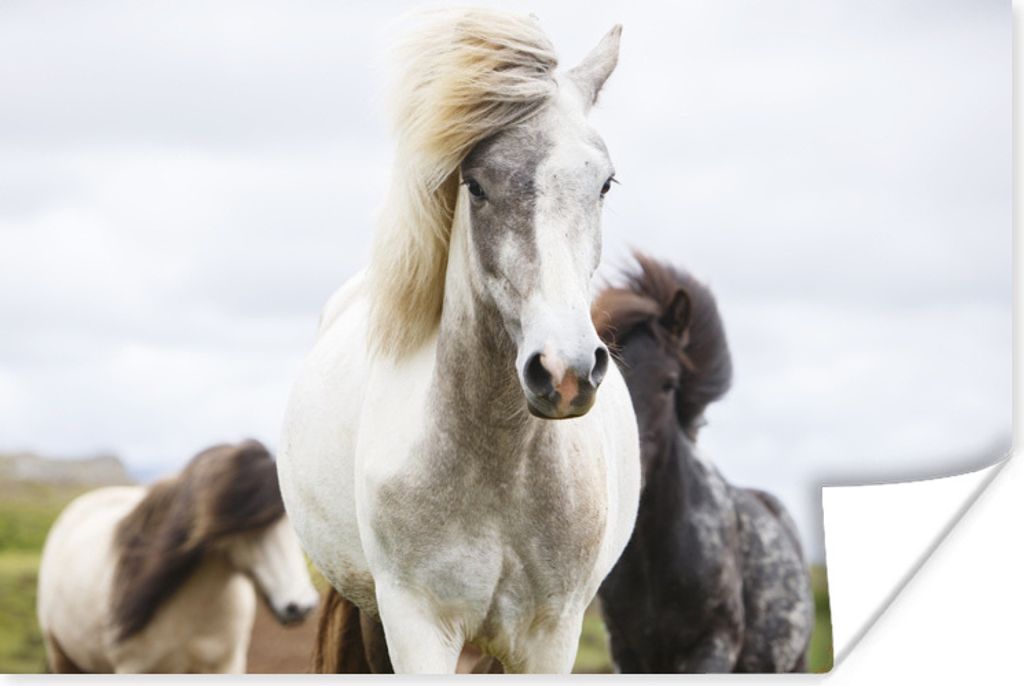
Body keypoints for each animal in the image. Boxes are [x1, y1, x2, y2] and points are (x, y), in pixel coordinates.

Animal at [277, 7, 640, 674]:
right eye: (475, 185)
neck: (499, 471)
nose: (565, 371)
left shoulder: (553, 636)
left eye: (604, 184)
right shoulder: (416, 626)